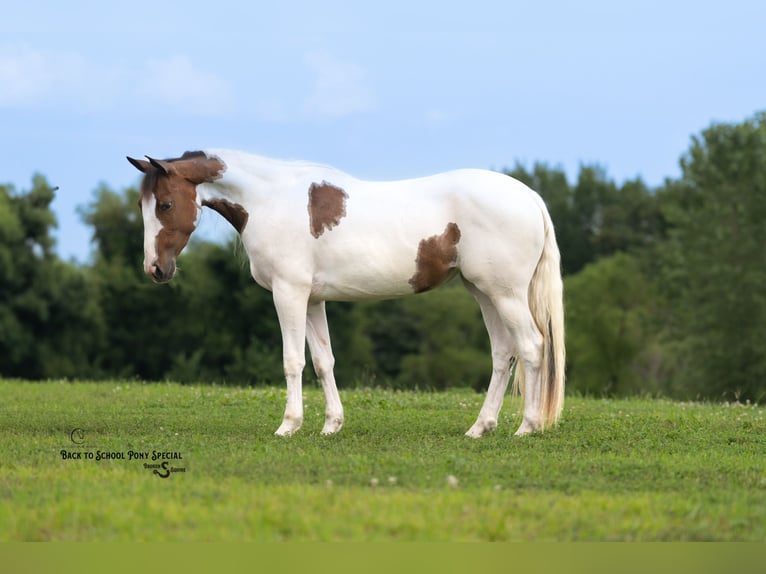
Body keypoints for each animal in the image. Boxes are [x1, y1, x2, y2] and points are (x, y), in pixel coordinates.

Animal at [127, 150, 565, 437]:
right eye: (145, 205)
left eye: (166, 204)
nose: (155, 269)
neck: (271, 201)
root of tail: (530, 197)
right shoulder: (313, 300)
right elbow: (324, 362)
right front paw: (331, 425)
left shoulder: (289, 294)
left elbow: (293, 361)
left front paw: (288, 425)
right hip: (483, 292)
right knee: (503, 353)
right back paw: (480, 427)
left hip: (505, 294)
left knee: (531, 346)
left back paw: (527, 427)